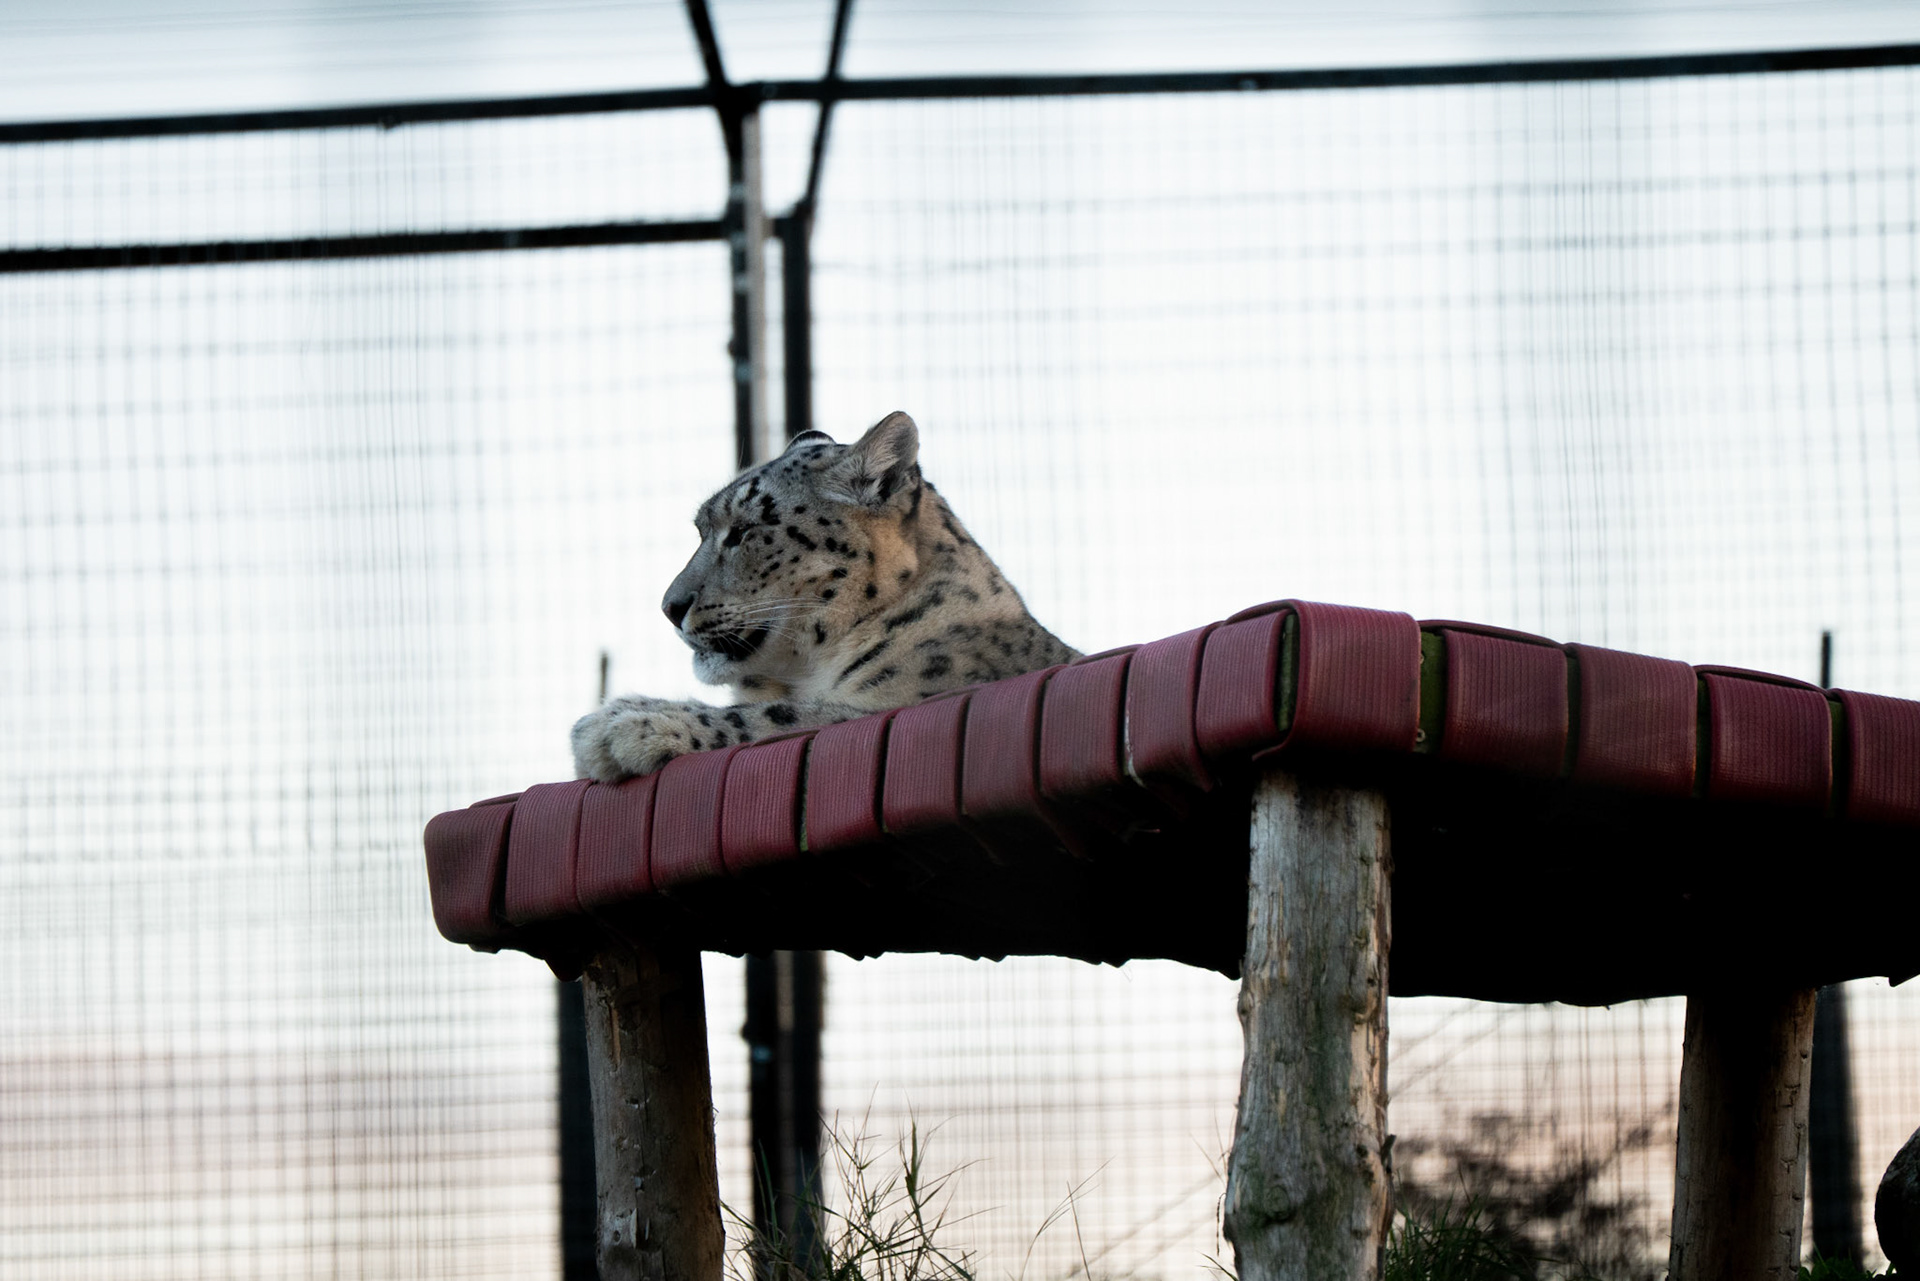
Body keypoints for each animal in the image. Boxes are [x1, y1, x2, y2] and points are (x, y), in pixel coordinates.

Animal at [571, 411, 1081, 783]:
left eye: (744, 530)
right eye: (700, 531)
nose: (670, 607)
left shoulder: (905, 703)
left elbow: (785, 715)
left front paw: (618, 725)